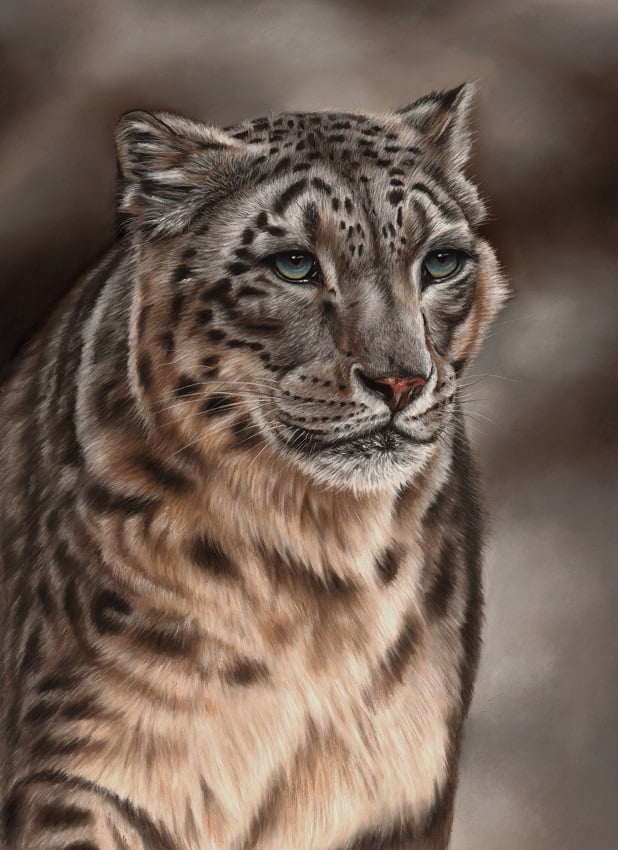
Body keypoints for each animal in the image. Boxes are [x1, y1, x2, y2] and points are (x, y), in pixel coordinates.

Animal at [0, 83, 507, 849]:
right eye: (294, 264)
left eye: (440, 262)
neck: (323, 566)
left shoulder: (399, 791)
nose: (400, 381)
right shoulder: (81, 771)